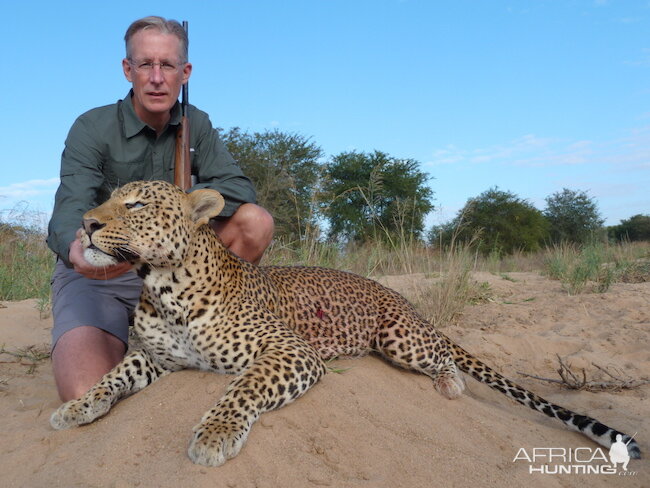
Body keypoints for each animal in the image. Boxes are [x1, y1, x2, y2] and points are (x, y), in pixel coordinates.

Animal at [50, 179, 636, 466]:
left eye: (136, 204)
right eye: (106, 200)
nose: (86, 223)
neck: (165, 287)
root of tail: (399, 295)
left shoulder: (289, 351)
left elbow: (241, 390)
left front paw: (214, 434)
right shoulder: (153, 357)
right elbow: (110, 378)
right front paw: (76, 408)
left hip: (401, 338)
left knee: (444, 355)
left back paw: (451, 383)